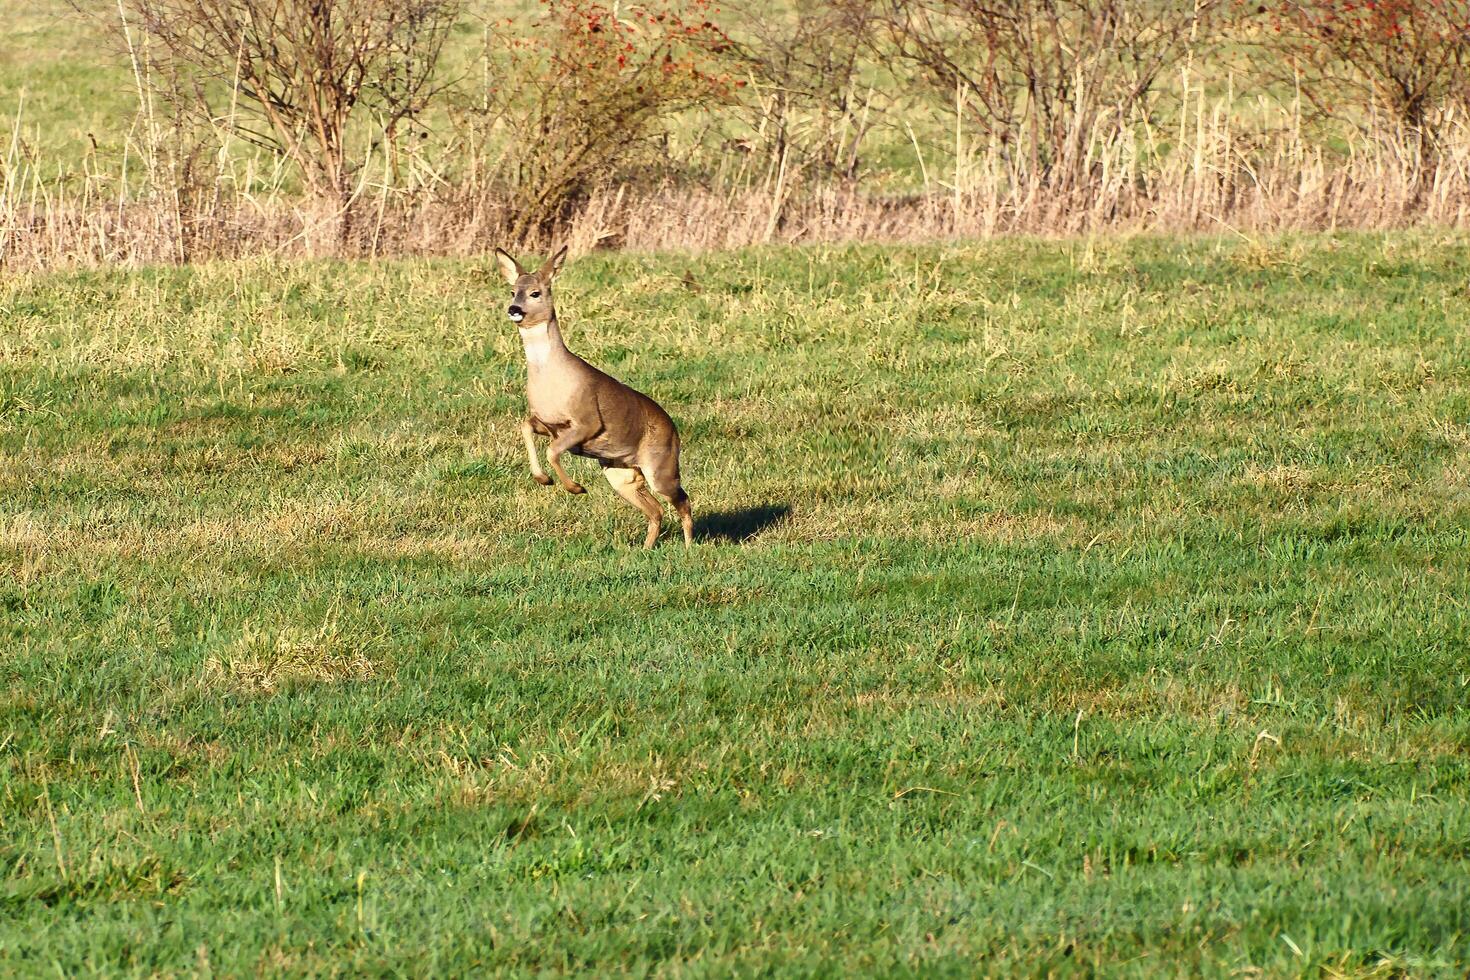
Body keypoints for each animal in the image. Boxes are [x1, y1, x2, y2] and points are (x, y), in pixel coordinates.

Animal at [499, 245, 693, 549]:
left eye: (535, 293)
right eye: (512, 291)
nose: (514, 310)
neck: (551, 378)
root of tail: (674, 431)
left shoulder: (587, 421)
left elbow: (552, 450)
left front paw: (575, 488)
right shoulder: (547, 422)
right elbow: (525, 427)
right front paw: (543, 479)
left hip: (661, 465)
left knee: (682, 500)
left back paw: (688, 546)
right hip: (620, 472)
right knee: (656, 509)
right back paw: (646, 549)